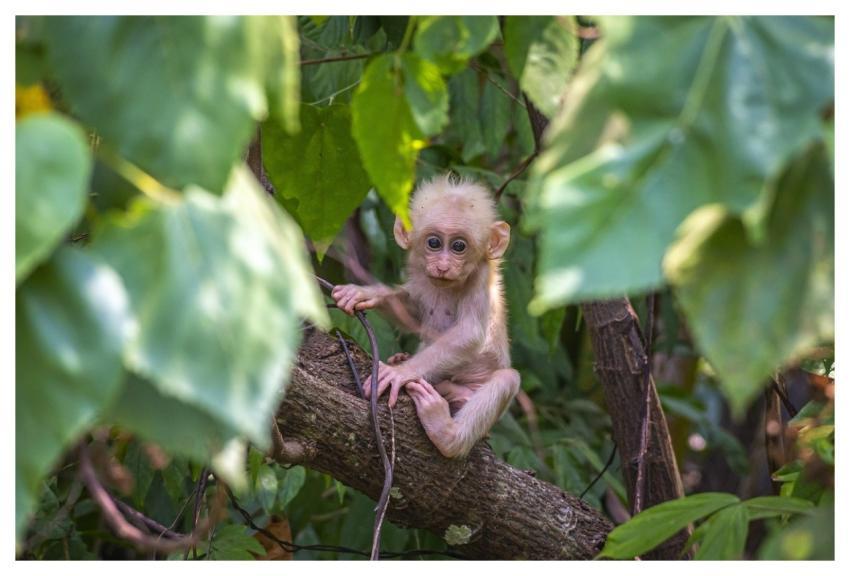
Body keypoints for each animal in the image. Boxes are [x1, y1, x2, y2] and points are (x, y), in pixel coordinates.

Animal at [332, 174, 520, 458]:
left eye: (459, 246)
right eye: (434, 243)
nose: (443, 266)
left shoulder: (481, 277)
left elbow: (470, 332)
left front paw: (400, 373)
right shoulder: (421, 272)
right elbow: (413, 311)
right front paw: (366, 293)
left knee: (508, 378)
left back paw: (446, 433)